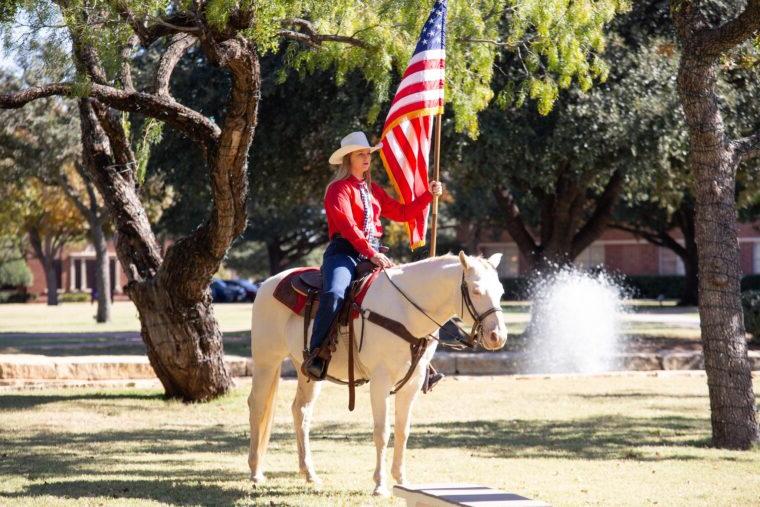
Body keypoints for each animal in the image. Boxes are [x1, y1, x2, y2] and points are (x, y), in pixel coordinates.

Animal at [249, 250, 508, 496]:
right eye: (476, 290)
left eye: (501, 291)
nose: (498, 336)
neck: (406, 311)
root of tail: (268, 283)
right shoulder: (380, 381)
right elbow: (382, 431)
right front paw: (380, 485)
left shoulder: (413, 383)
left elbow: (403, 430)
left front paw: (402, 480)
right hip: (266, 361)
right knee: (258, 406)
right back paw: (255, 471)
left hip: (308, 372)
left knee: (301, 411)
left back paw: (309, 474)